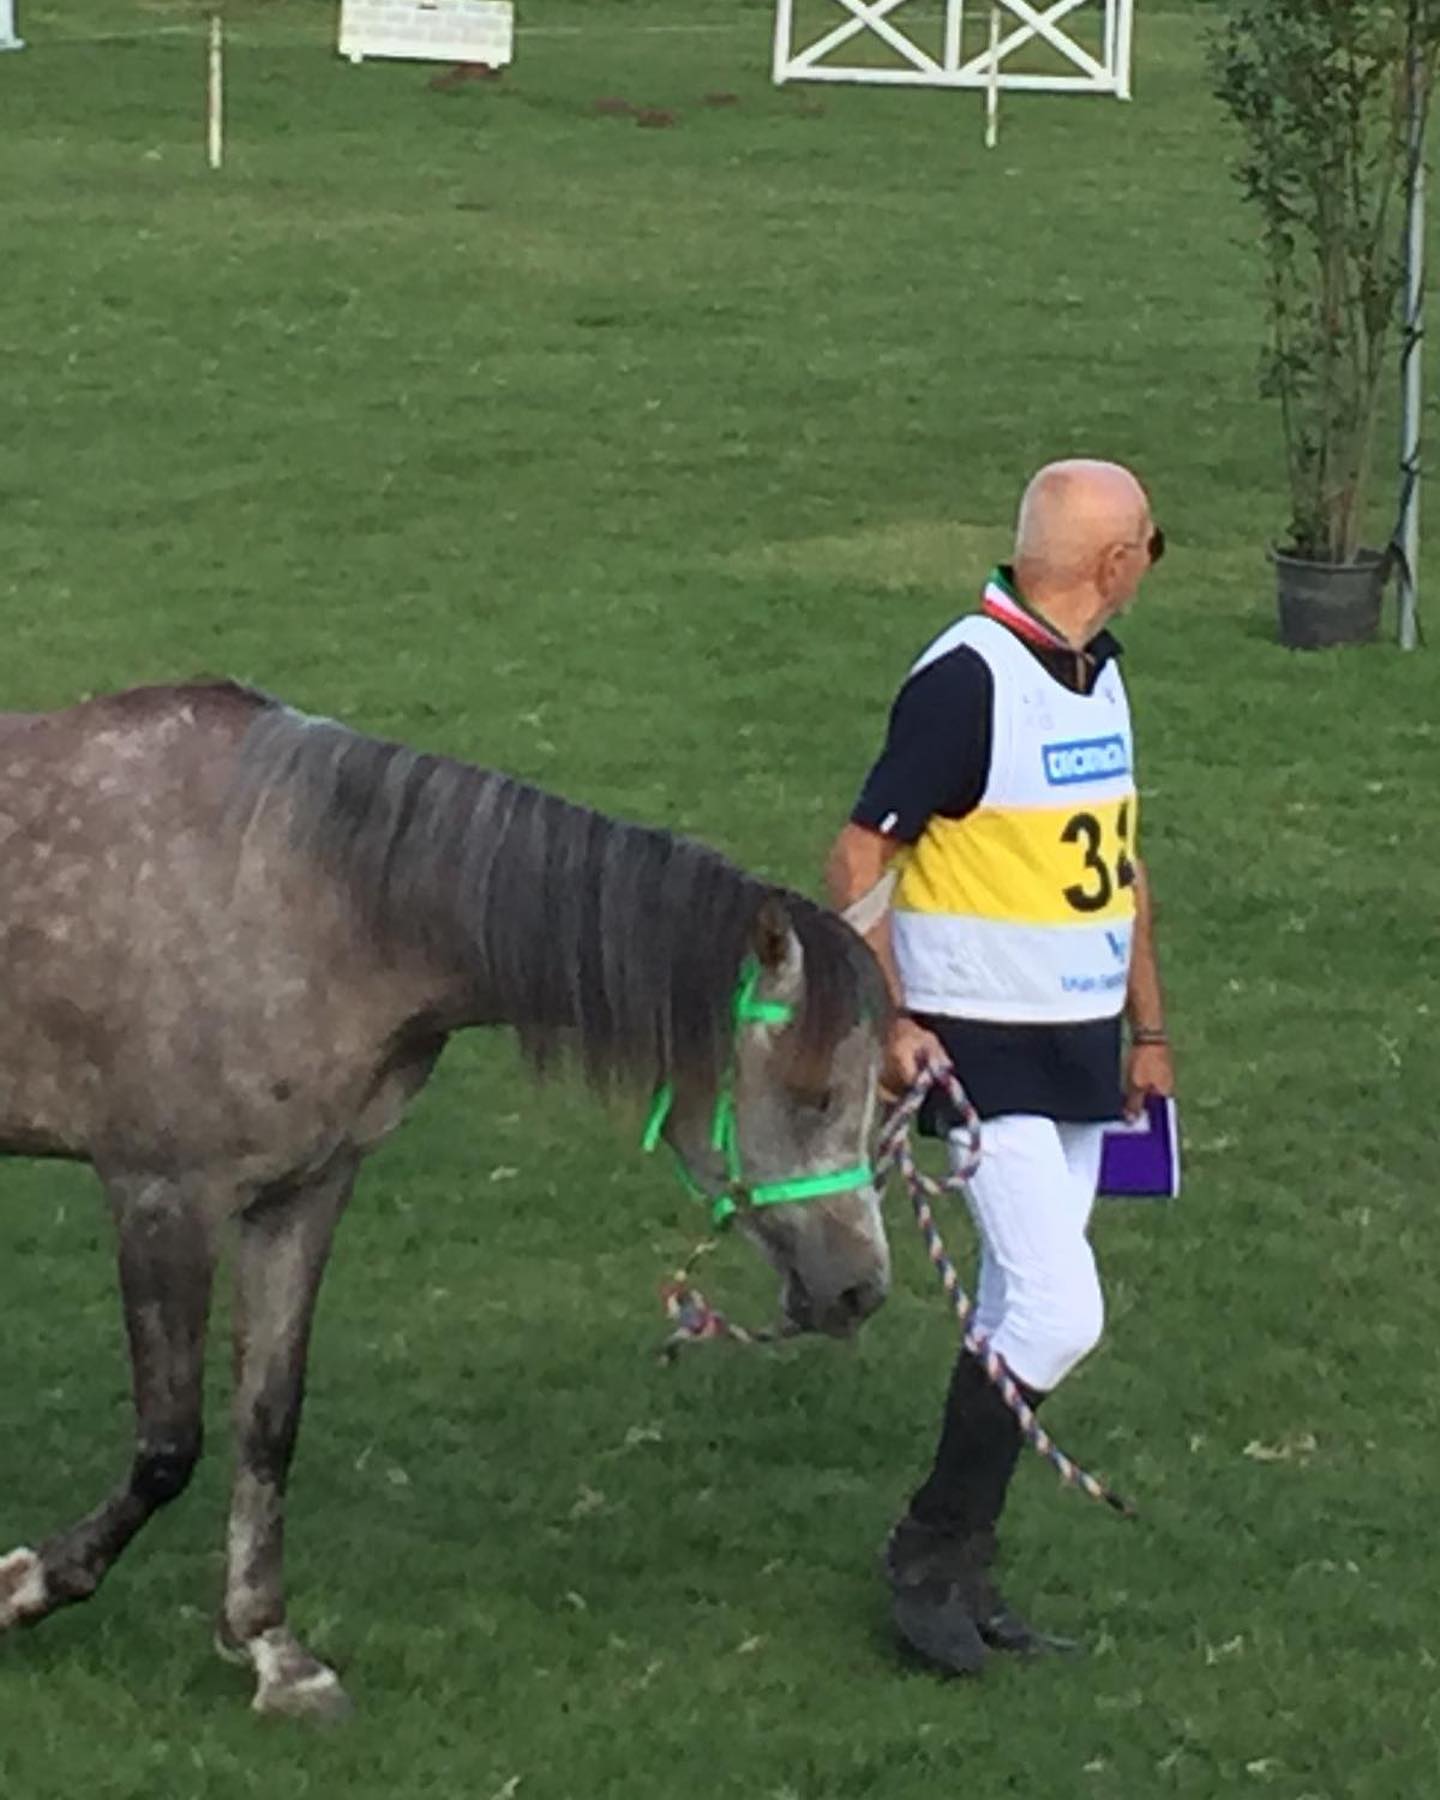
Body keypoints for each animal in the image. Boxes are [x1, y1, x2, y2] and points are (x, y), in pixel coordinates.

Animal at [0, 681, 892, 1718]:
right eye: (813, 1093)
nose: (860, 1289)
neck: (287, 885)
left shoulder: (303, 1194)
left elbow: (268, 1422)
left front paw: (273, 1649)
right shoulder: (160, 1199)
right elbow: (167, 1444)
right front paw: (27, 1585)